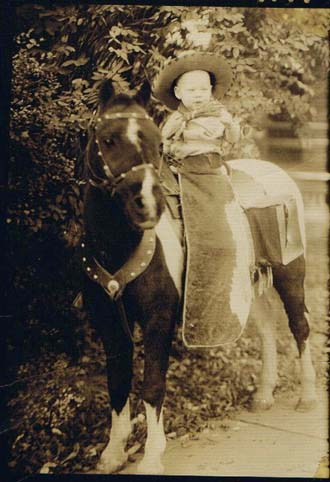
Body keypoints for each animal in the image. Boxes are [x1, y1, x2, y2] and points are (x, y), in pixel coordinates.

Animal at [80, 80, 318, 474]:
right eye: (108, 138)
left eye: (154, 140)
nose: (146, 204)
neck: (119, 245)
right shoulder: (109, 322)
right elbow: (117, 382)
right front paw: (113, 453)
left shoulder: (158, 320)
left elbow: (152, 385)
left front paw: (152, 457)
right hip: (247, 285)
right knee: (267, 328)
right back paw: (264, 395)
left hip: (291, 273)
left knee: (299, 327)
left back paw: (307, 396)